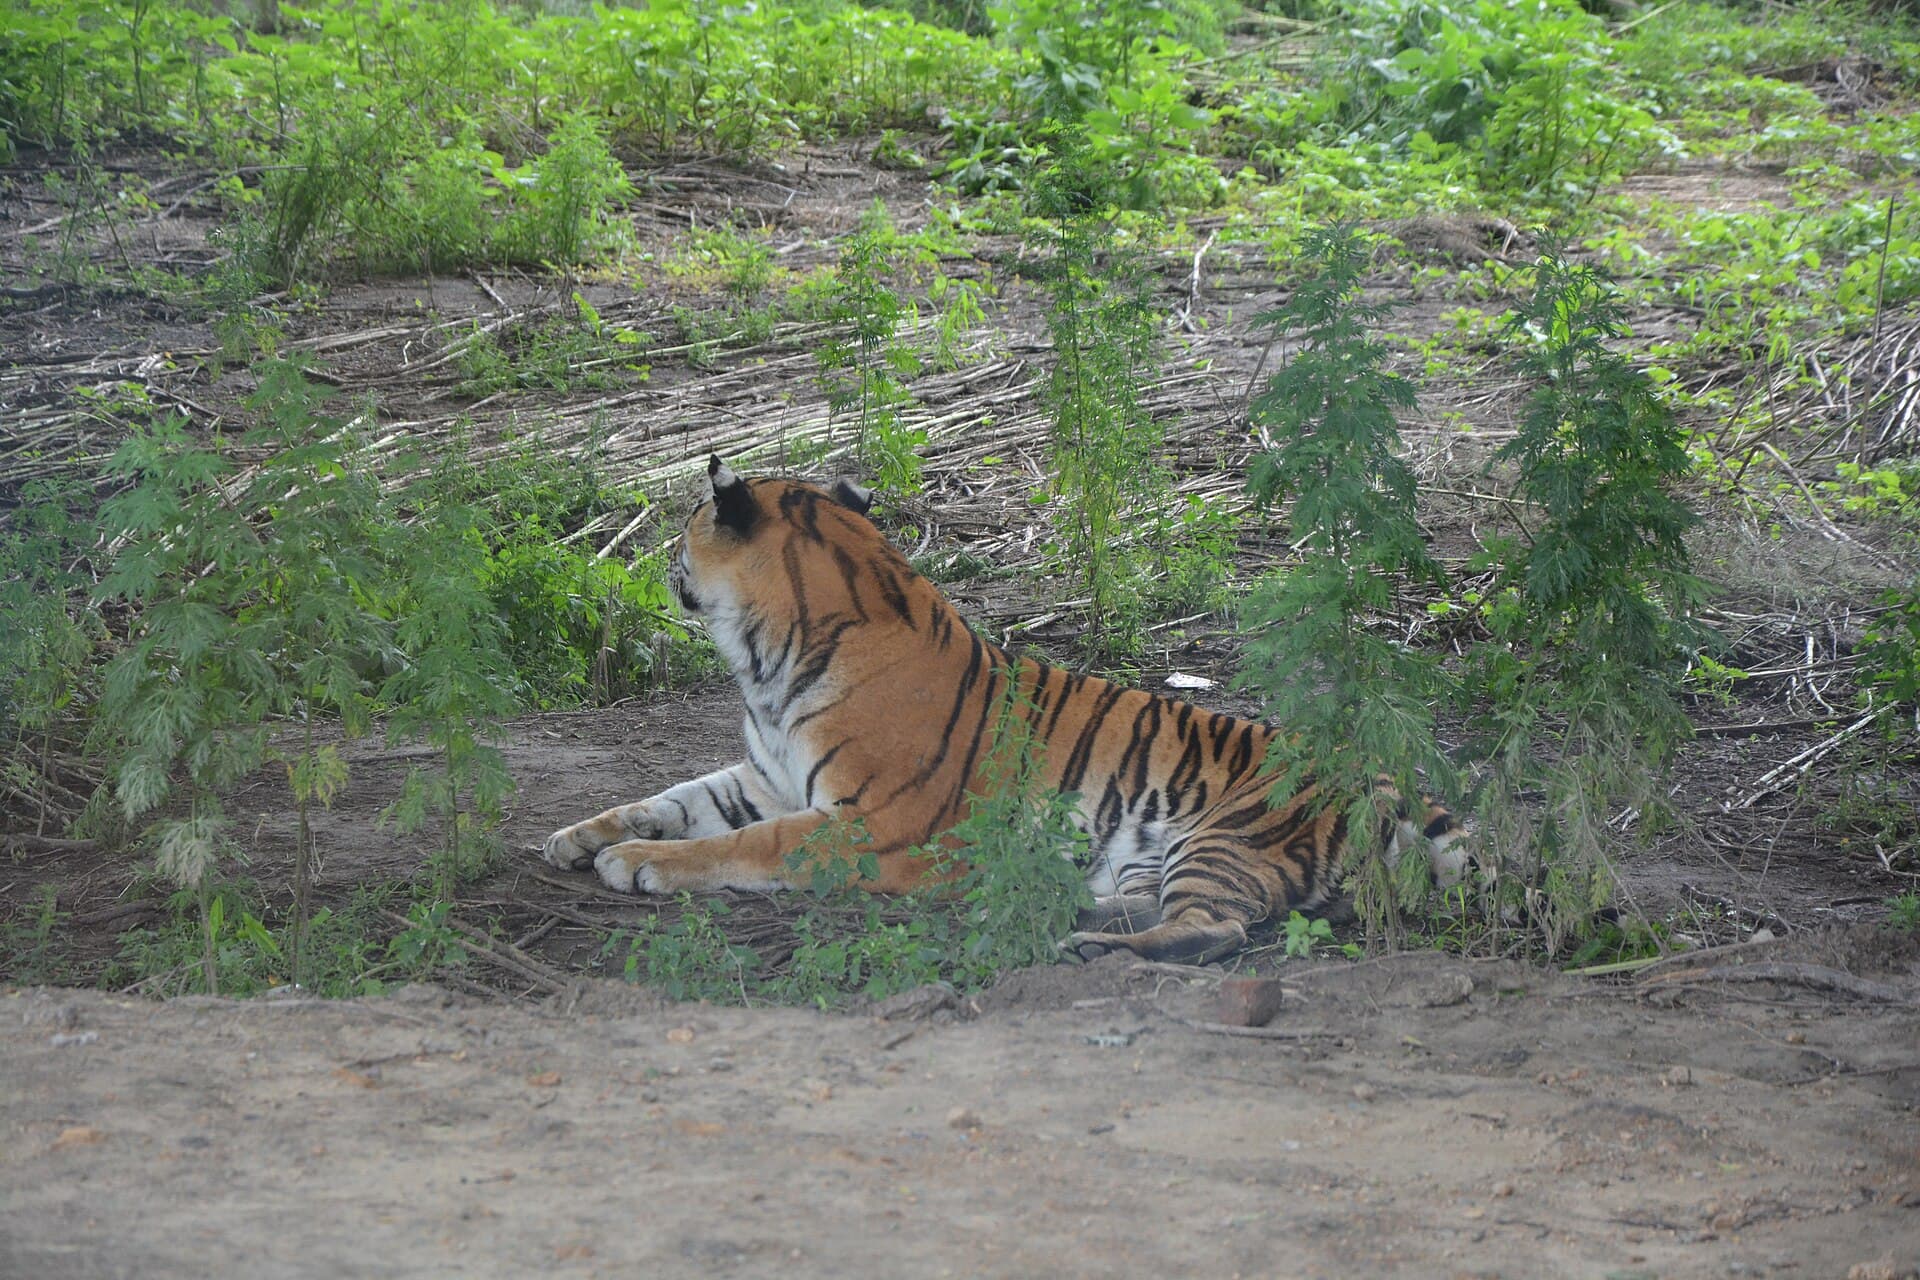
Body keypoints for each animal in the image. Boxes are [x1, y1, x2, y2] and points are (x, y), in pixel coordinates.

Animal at [542, 457, 1469, 963]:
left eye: (686, 525)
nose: (662, 562)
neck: (765, 664)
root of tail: (1392, 783)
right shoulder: (766, 777)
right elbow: (672, 799)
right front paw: (579, 837)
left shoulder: (870, 825)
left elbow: (743, 845)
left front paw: (636, 863)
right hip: (1149, 852)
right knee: (1160, 904)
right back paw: (1040, 894)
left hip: (1224, 837)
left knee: (1217, 928)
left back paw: (1087, 942)